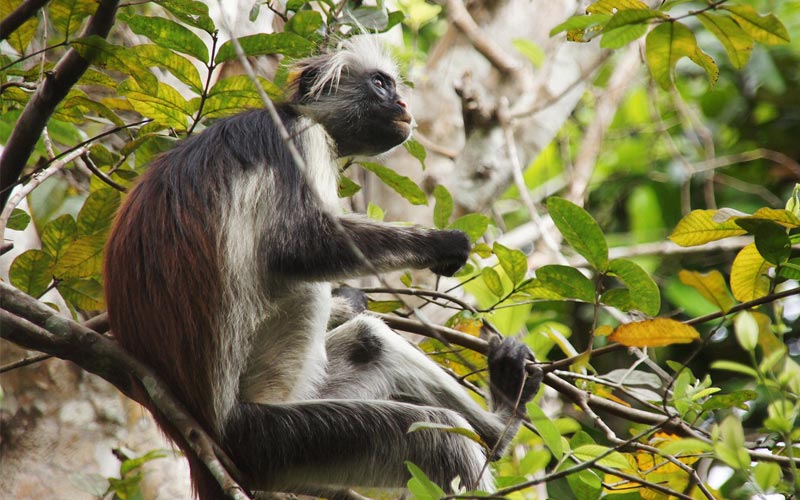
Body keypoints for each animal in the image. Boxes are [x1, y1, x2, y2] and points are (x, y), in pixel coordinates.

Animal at [103, 37, 540, 498]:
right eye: (381, 84)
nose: (402, 103)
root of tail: (198, 439)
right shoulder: (298, 139)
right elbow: (296, 249)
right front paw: (442, 244)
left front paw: (348, 301)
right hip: (271, 436)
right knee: (437, 436)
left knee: (370, 342)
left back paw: (501, 424)